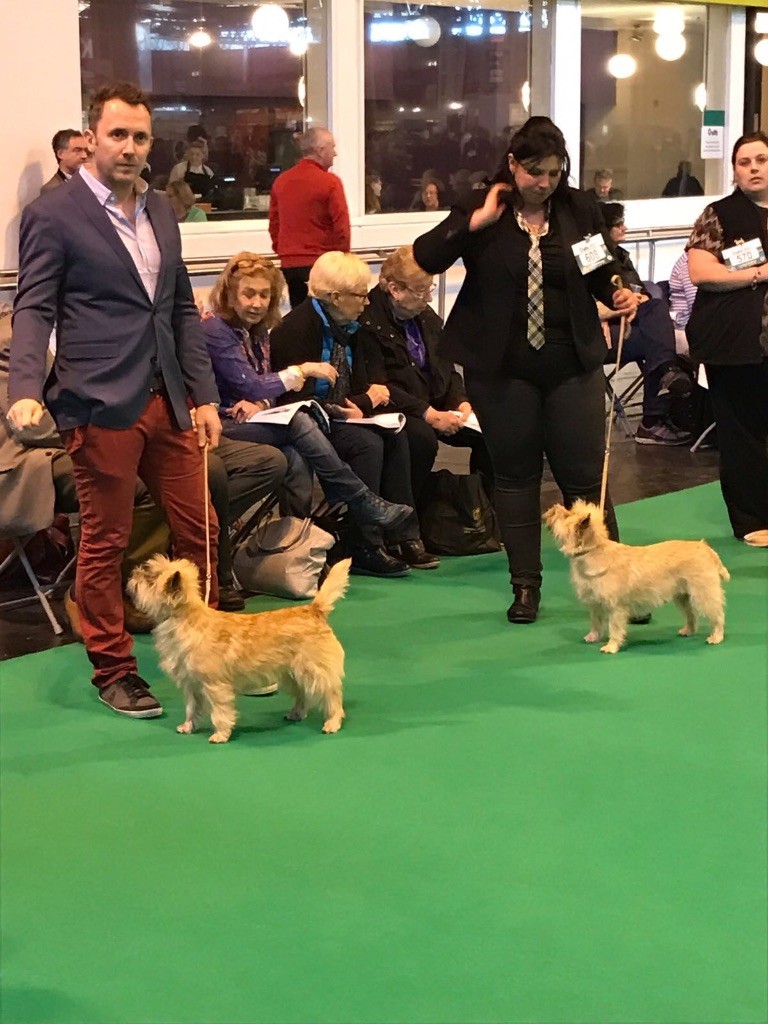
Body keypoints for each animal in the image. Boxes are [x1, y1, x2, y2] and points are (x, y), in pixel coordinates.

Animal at [128, 557, 350, 741]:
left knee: (332, 695)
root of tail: (314, 610)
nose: (134, 571)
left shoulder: (215, 686)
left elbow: (220, 712)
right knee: (303, 694)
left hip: (315, 670)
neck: (186, 620)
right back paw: (296, 713)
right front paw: (188, 726)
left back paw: (332, 722)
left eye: (150, 578)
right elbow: (192, 708)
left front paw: (220, 734)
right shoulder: (192, 685)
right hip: (291, 674)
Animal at [544, 503, 729, 655]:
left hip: (703, 594)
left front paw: (611, 646)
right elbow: (595, 622)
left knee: (717, 615)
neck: (593, 552)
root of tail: (704, 547)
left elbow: (614, 627)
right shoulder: (595, 604)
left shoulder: (615, 608)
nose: (553, 507)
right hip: (682, 596)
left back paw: (716, 637)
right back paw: (688, 630)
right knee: (691, 615)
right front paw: (593, 636)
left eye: (567, 515)